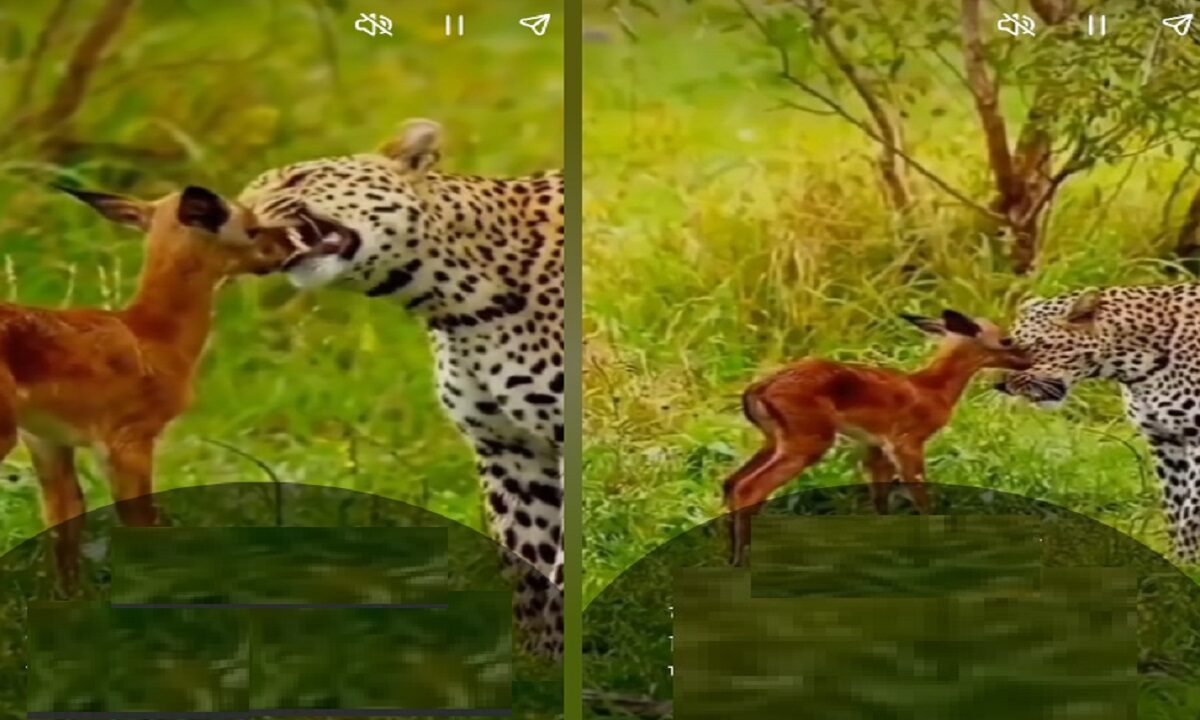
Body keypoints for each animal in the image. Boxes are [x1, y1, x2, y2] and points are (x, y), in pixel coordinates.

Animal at [0, 184, 292, 589]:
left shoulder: (49, 440)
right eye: (251, 226)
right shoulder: (130, 437)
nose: (287, 244)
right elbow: (139, 519)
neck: (154, 336)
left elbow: (65, 520)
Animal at [238, 119, 564, 654]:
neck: (458, 305)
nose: (237, 218)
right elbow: (532, 576)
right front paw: (538, 663)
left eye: (297, 179)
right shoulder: (509, 452)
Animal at [722, 310, 1032, 566]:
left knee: (732, 481)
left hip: (776, 438)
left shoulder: (876, 445)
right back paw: (742, 560)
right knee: (750, 487)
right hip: (809, 438)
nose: (1027, 359)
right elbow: (920, 494)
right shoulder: (907, 440)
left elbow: (880, 497)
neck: (933, 390)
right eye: (1005, 339)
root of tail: (757, 391)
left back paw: (732, 555)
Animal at [996, 284, 1200, 564]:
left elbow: (1191, 509)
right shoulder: (1165, 441)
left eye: (1033, 347)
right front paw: (1180, 562)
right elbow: (1175, 505)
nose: (1000, 385)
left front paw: (1189, 563)